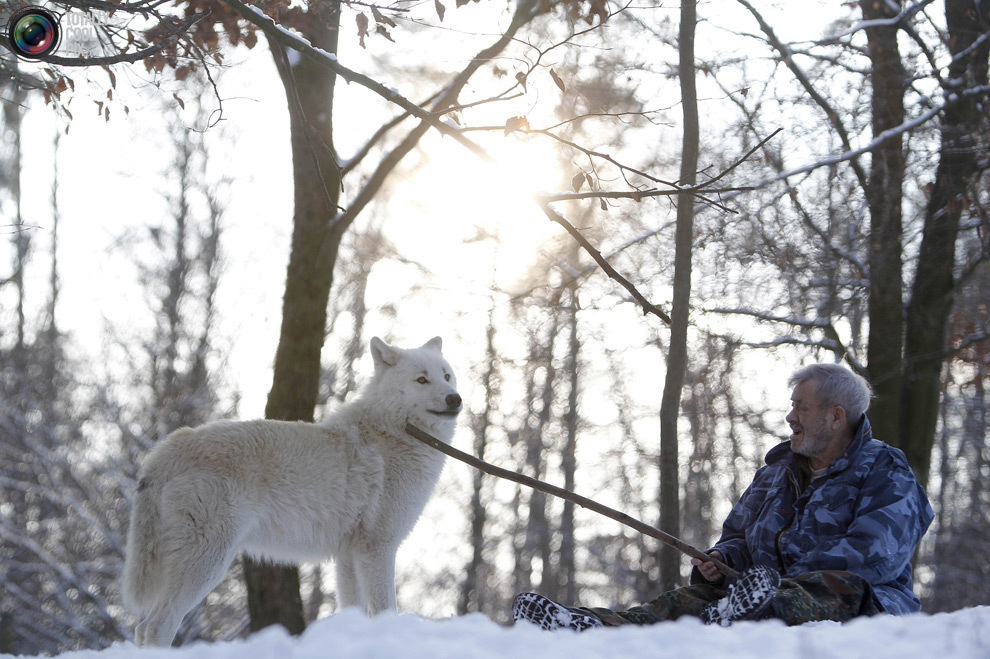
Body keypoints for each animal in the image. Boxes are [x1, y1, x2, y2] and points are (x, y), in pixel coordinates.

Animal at [123, 338, 462, 648]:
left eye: (447, 375)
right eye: (421, 379)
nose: (455, 398)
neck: (395, 432)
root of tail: (166, 449)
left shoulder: (348, 556)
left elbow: (352, 608)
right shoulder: (378, 548)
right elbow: (384, 608)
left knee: (141, 627)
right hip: (207, 563)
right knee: (157, 625)